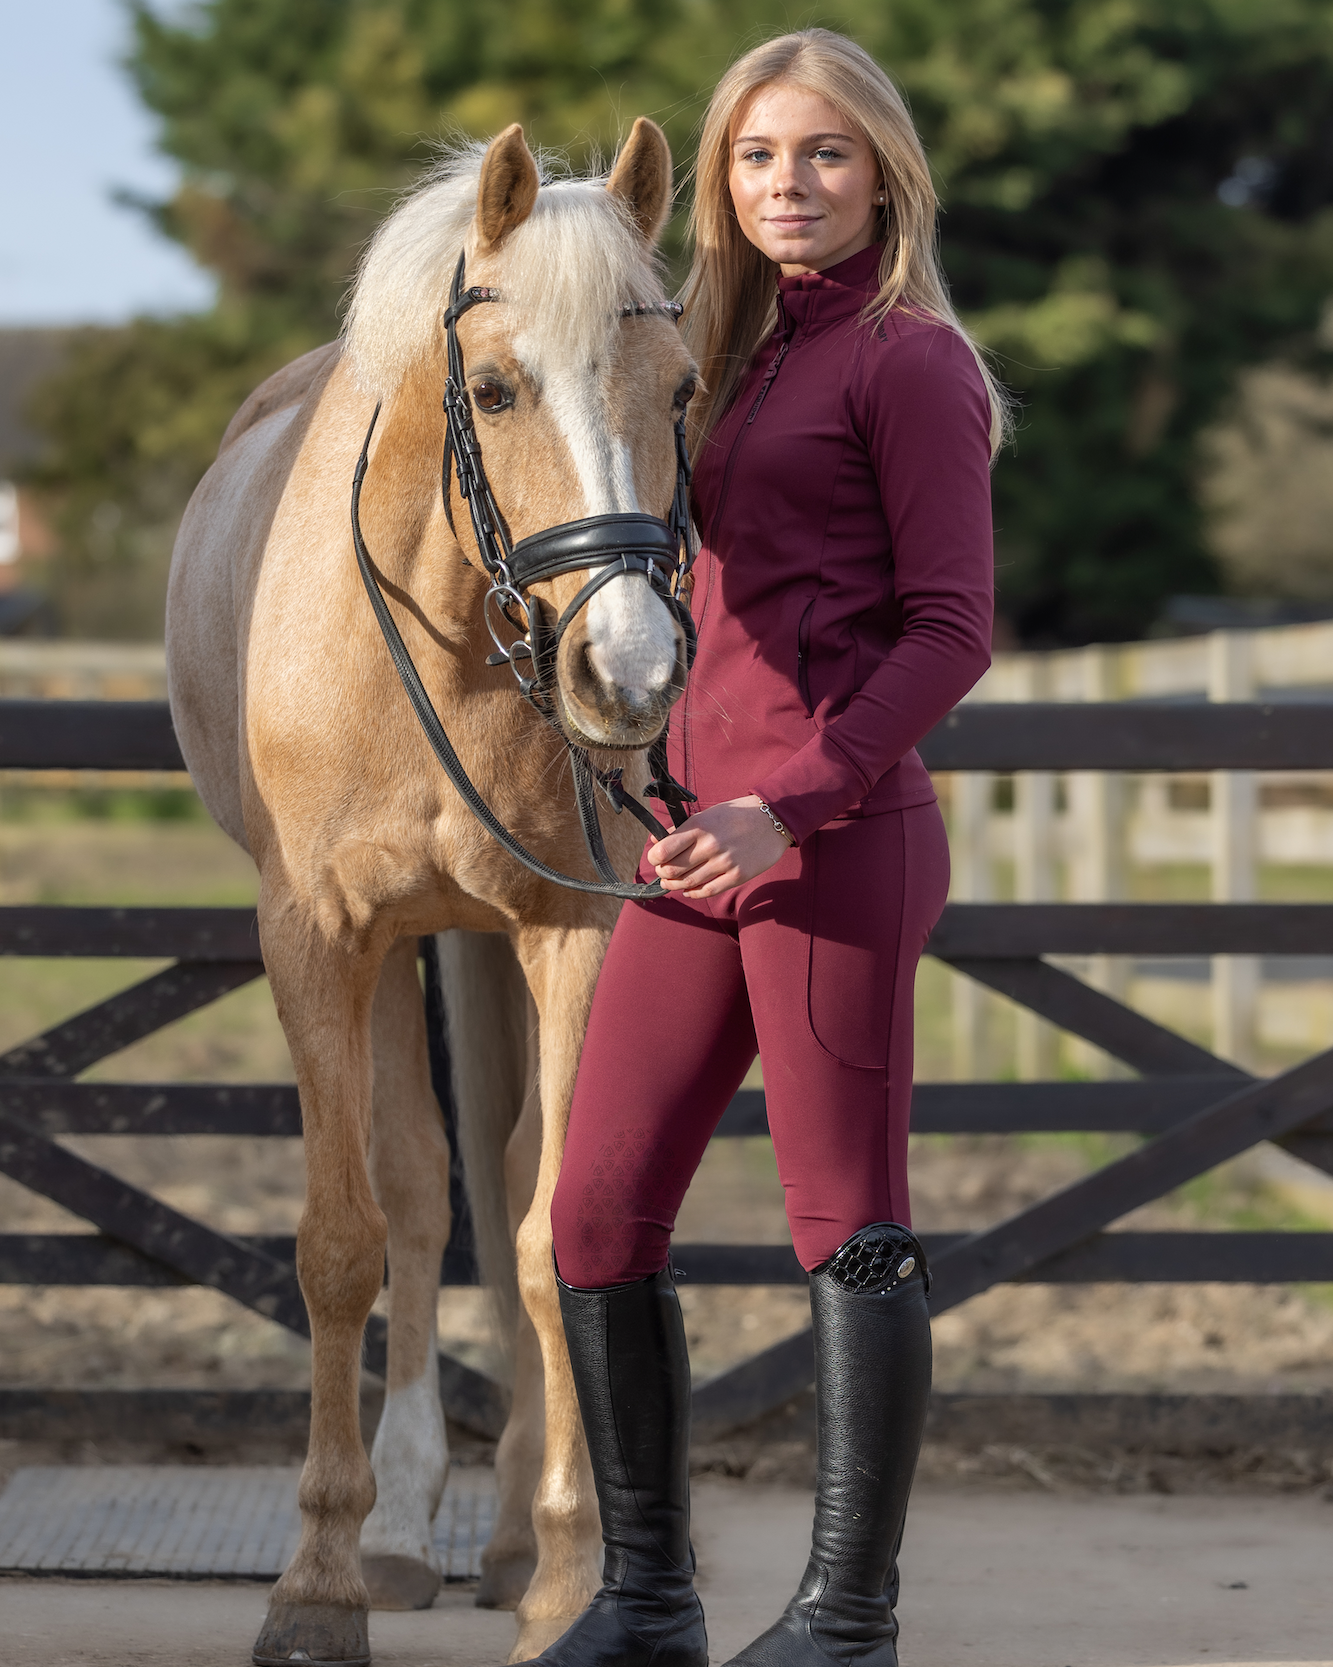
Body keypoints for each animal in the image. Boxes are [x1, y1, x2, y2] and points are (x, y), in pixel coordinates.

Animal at [165, 118, 696, 1666]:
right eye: (499, 389)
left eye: (682, 386)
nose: (628, 674)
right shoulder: (320, 937)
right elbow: (347, 1237)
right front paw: (318, 1581)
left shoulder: (572, 930)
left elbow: (544, 1230)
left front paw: (572, 1576)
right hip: (410, 948)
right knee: (410, 1187)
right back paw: (402, 1529)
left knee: (500, 1181)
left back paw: (512, 1535)